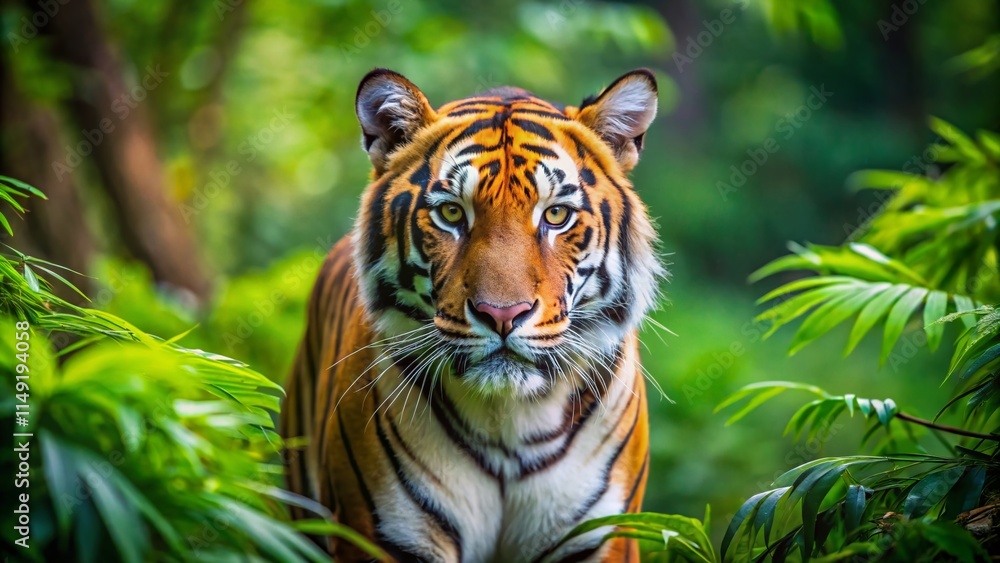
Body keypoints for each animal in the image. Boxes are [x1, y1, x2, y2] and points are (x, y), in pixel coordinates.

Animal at [281, 67, 665, 563]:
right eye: (450, 213)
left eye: (556, 215)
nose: (502, 314)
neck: (509, 423)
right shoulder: (384, 533)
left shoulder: (599, 537)